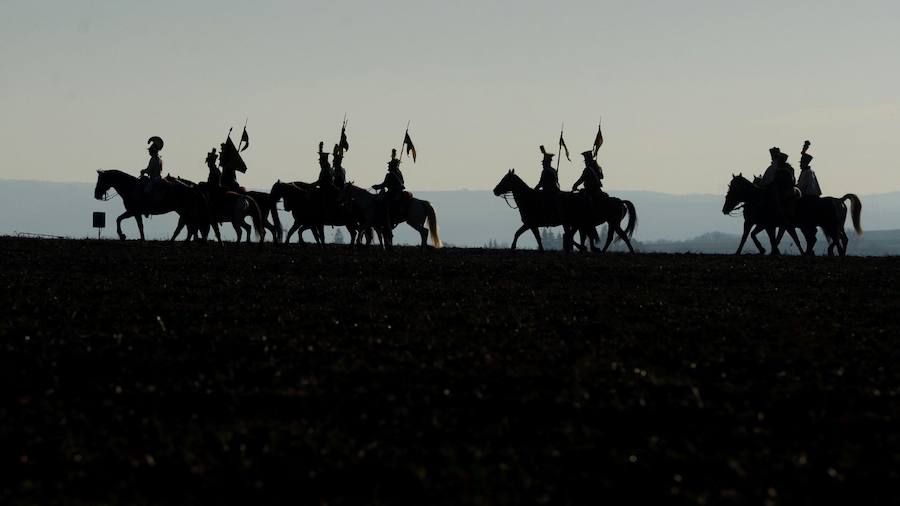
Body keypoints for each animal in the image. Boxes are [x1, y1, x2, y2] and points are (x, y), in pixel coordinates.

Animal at [492, 169, 640, 252]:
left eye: (505, 179)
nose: (494, 191)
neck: (528, 199)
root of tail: (620, 201)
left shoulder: (531, 224)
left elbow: (524, 235)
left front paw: (513, 247)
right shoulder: (532, 225)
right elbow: (531, 236)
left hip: (611, 222)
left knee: (620, 235)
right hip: (607, 223)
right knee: (609, 237)